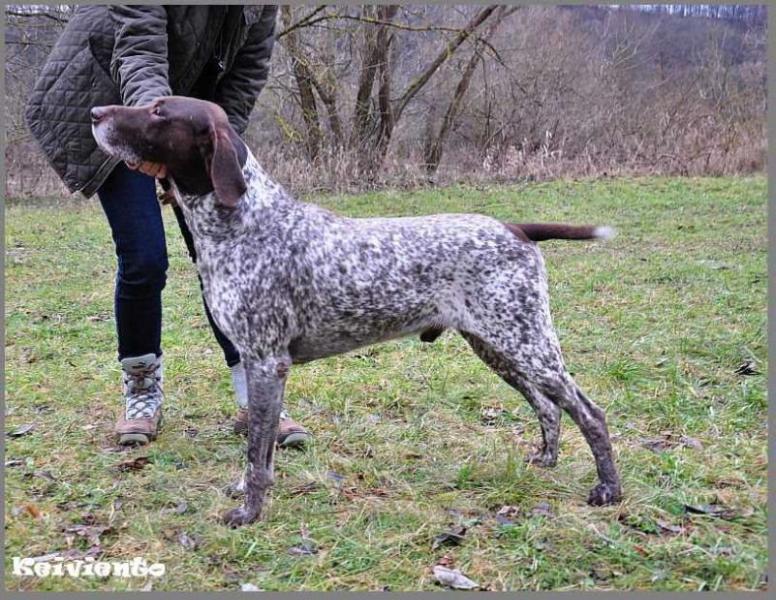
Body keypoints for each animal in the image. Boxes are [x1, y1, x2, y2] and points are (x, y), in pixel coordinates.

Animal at [92, 97, 624, 524]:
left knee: (589, 412)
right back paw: (546, 459)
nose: (95, 113)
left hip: (527, 344)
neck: (245, 225)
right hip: (497, 347)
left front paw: (249, 511)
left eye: (159, 111)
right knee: (548, 407)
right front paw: (247, 493)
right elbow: (261, 450)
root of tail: (514, 227)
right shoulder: (258, 362)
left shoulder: (266, 362)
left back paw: (608, 490)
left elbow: (257, 452)